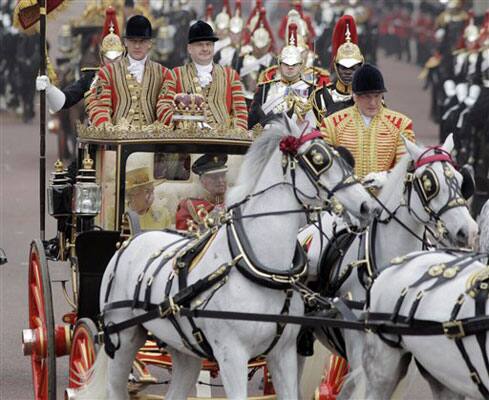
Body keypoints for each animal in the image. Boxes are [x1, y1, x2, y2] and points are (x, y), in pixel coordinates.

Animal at [71, 119, 374, 400]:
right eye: (317, 158)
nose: (367, 205)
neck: (258, 267)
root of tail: (130, 238)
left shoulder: (283, 353)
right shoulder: (232, 355)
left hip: (183, 348)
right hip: (122, 337)